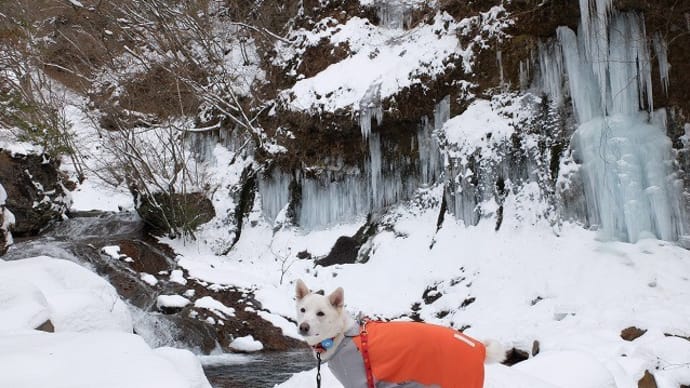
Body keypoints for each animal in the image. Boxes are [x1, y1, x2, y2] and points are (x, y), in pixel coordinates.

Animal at [292, 278, 502, 388]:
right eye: (302, 310)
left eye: (320, 313)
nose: (303, 327)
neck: (342, 335)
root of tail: (480, 348)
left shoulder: (360, 382)